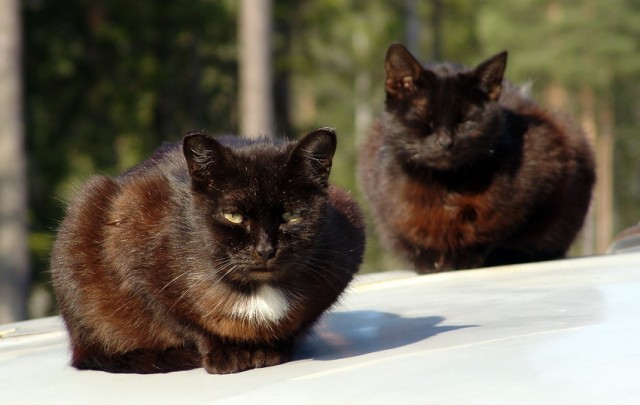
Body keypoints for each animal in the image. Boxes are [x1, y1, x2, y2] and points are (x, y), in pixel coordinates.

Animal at [50, 128, 364, 374]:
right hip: (83, 213)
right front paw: (224, 353)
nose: (265, 249)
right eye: (233, 216)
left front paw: (271, 349)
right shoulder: (128, 239)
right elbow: (180, 319)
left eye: (291, 215)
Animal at [360, 43, 596, 272]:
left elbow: (494, 229)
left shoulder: (545, 163)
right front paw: (428, 259)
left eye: (464, 121)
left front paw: (465, 256)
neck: (446, 185)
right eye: (426, 119)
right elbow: (413, 235)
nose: (445, 142)